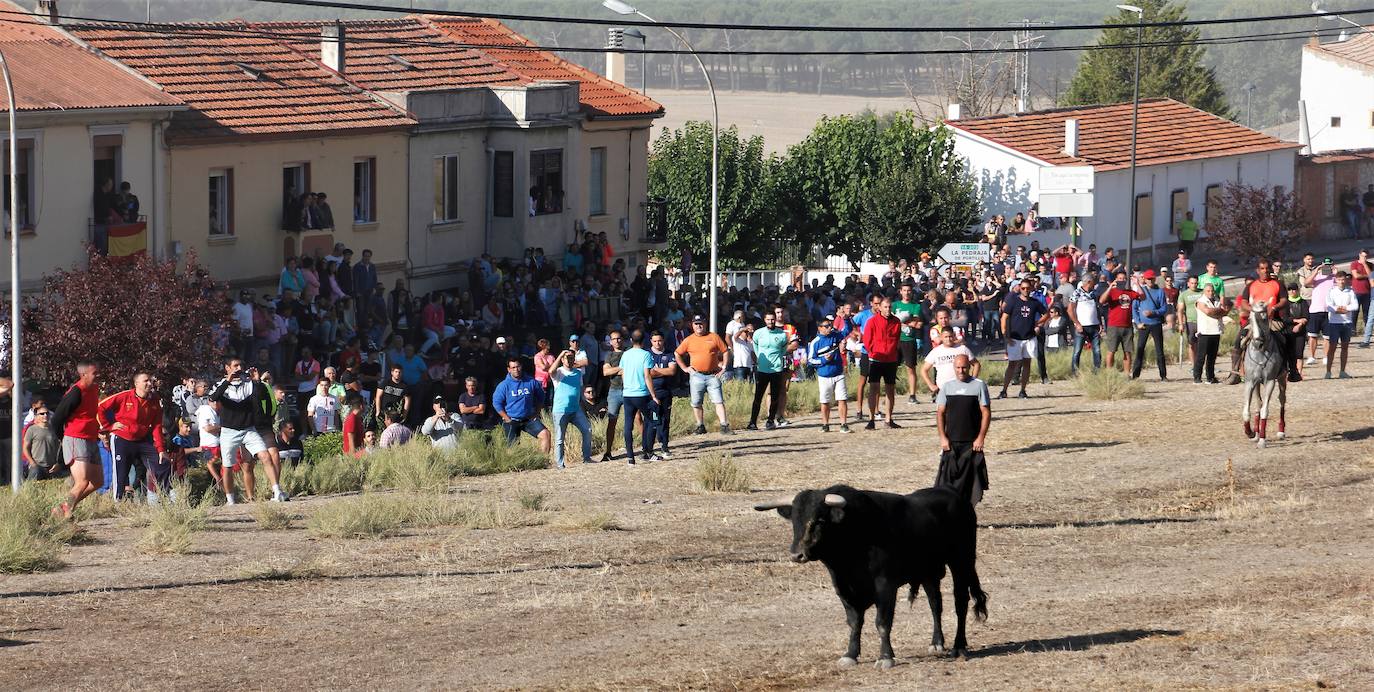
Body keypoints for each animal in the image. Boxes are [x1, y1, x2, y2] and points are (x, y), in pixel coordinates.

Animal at [752, 483, 989, 667]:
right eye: (794, 520)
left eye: (819, 520)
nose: (797, 554)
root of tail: (954, 495)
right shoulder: (843, 587)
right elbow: (854, 621)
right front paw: (850, 654)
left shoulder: (885, 585)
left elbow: (882, 622)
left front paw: (885, 657)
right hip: (928, 571)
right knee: (935, 603)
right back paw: (937, 642)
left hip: (962, 561)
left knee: (960, 602)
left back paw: (959, 646)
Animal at [1247, 302, 1286, 447]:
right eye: (1250, 319)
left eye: (1264, 318)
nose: (1257, 342)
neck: (1261, 352)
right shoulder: (1250, 382)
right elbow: (1247, 410)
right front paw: (1251, 432)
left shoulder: (1270, 382)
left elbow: (1265, 410)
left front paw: (1262, 440)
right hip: (1257, 384)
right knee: (1258, 403)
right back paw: (1256, 433)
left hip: (1282, 378)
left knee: (1282, 400)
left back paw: (1281, 431)